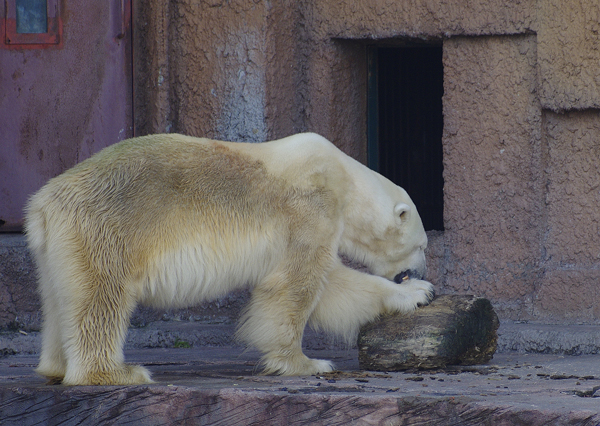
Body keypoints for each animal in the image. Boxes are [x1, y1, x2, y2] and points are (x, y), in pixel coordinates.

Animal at [25, 133, 434, 386]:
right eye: (423, 246)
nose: (416, 270)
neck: (345, 180)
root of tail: (44, 203)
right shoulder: (310, 208)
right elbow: (299, 284)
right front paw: (306, 363)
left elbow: (330, 285)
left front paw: (418, 292)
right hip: (109, 228)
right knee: (102, 298)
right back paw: (118, 372)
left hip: (57, 247)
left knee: (60, 298)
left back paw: (54, 366)